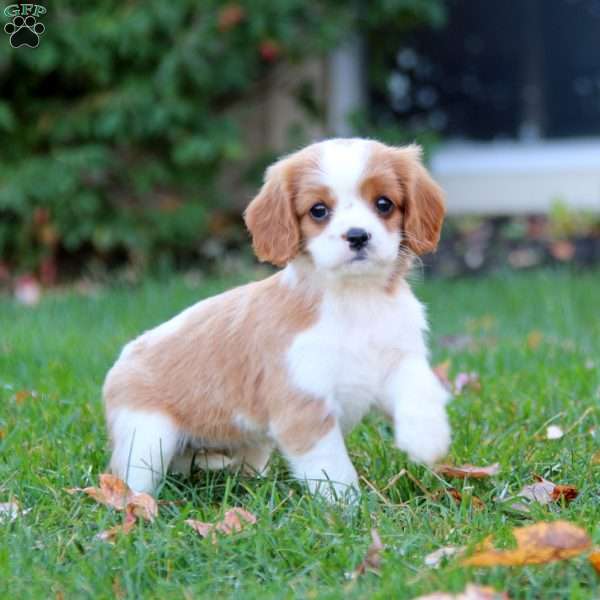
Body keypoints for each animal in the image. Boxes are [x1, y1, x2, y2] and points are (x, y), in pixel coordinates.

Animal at [103, 138, 450, 500]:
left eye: (384, 204)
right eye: (318, 210)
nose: (357, 235)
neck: (355, 298)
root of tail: (123, 357)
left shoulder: (395, 356)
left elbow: (418, 383)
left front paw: (427, 437)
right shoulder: (304, 407)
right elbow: (333, 468)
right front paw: (347, 506)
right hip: (146, 437)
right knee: (134, 476)